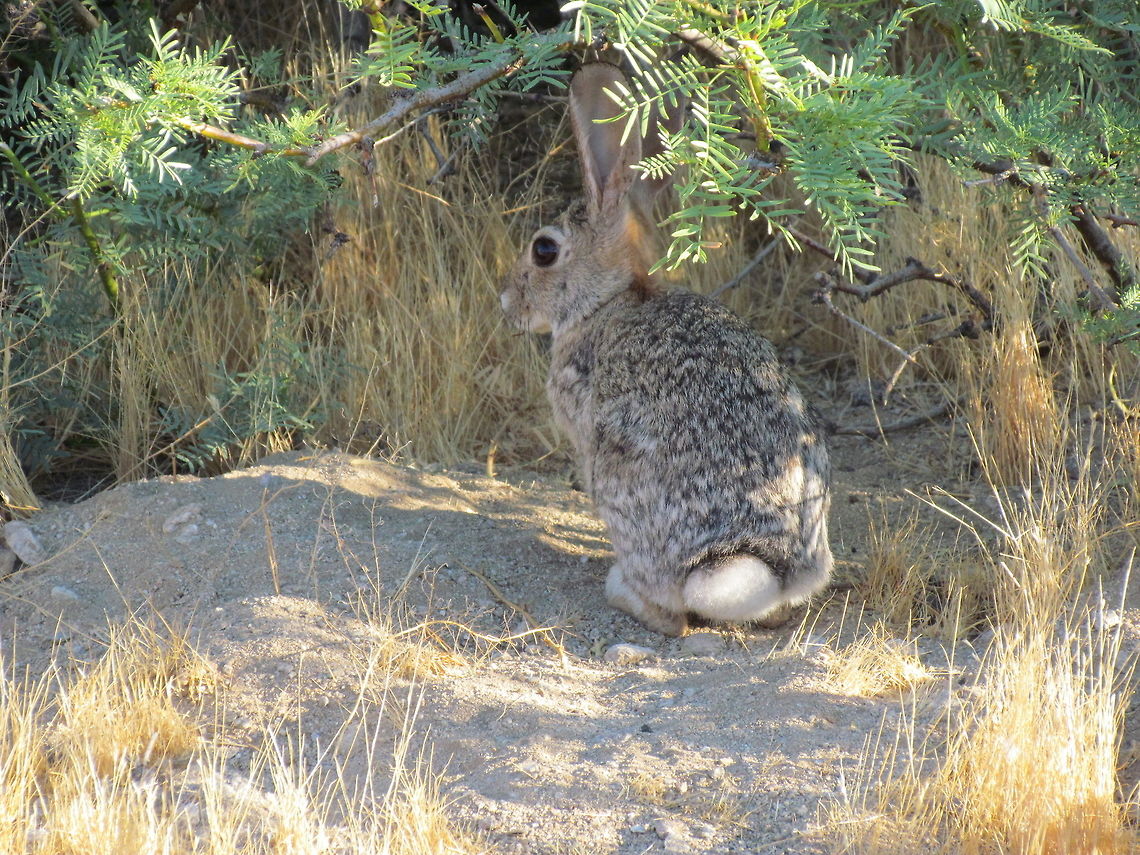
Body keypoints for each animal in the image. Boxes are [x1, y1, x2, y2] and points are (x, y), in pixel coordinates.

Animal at [500, 63, 832, 636]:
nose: (507, 302)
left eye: (544, 251)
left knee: (668, 613)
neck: (611, 299)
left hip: (624, 490)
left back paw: (620, 589)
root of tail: (764, 561)